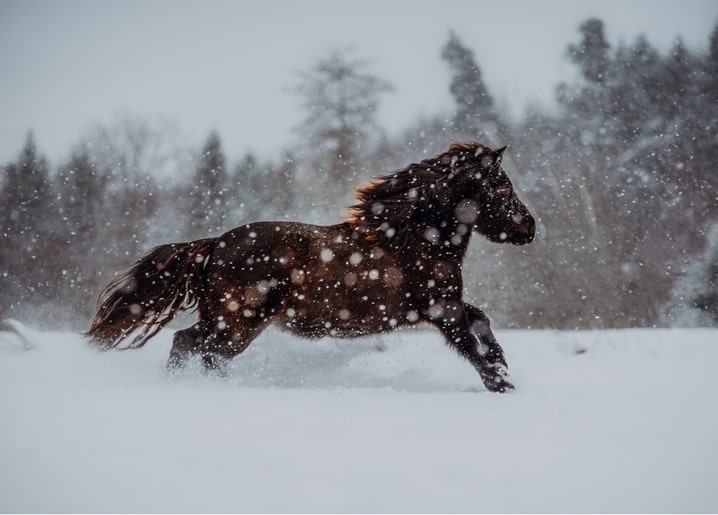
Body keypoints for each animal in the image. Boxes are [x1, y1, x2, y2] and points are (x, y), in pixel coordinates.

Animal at [86, 143, 536, 394]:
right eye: (503, 186)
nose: (530, 227)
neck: (414, 237)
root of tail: (212, 247)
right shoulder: (440, 309)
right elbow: (469, 343)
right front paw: (500, 382)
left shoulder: (444, 303)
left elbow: (482, 320)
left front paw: (501, 363)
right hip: (238, 323)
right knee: (200, 349)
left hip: (225, 320)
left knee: (190, 345)